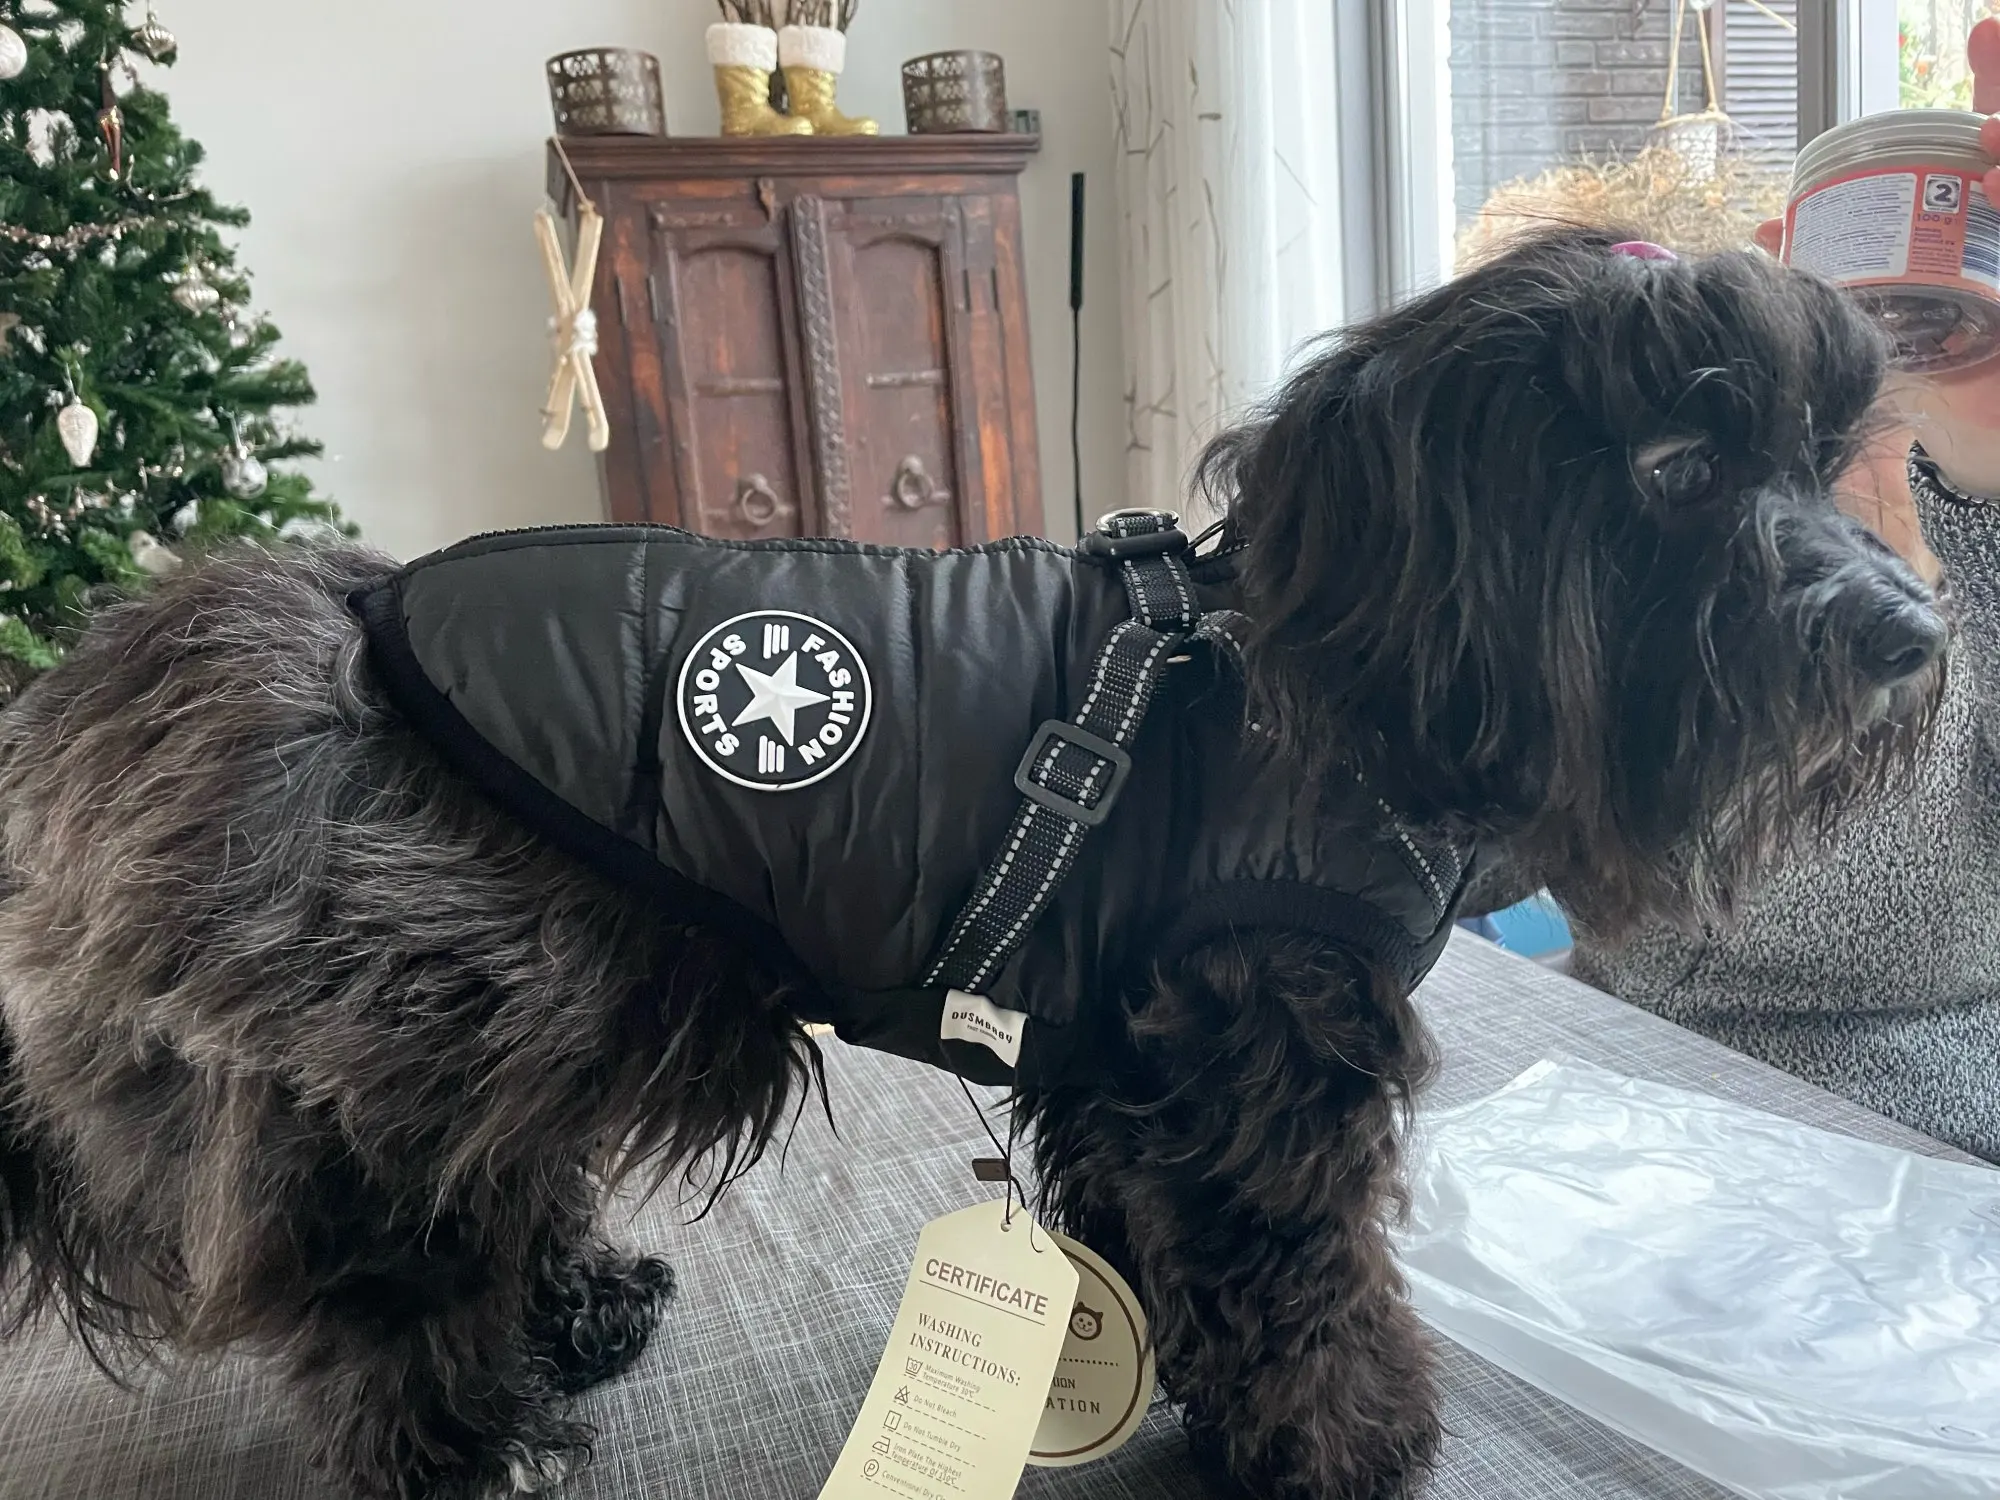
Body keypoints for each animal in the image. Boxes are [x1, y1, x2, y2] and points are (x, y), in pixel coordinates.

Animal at [0, 228, 1946, 1500]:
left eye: (1819, 458)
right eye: (1676, 463)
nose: (1918, 637)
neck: (1338, 674)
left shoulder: (1128, 1059)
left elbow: (1172, 1244)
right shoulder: (1265, 1055)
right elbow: (1301, 1271)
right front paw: (1344, 1439)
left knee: (504, 1197)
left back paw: (576, 1315)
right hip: (404, 1057)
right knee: (384, 1294)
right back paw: (461, 1445)